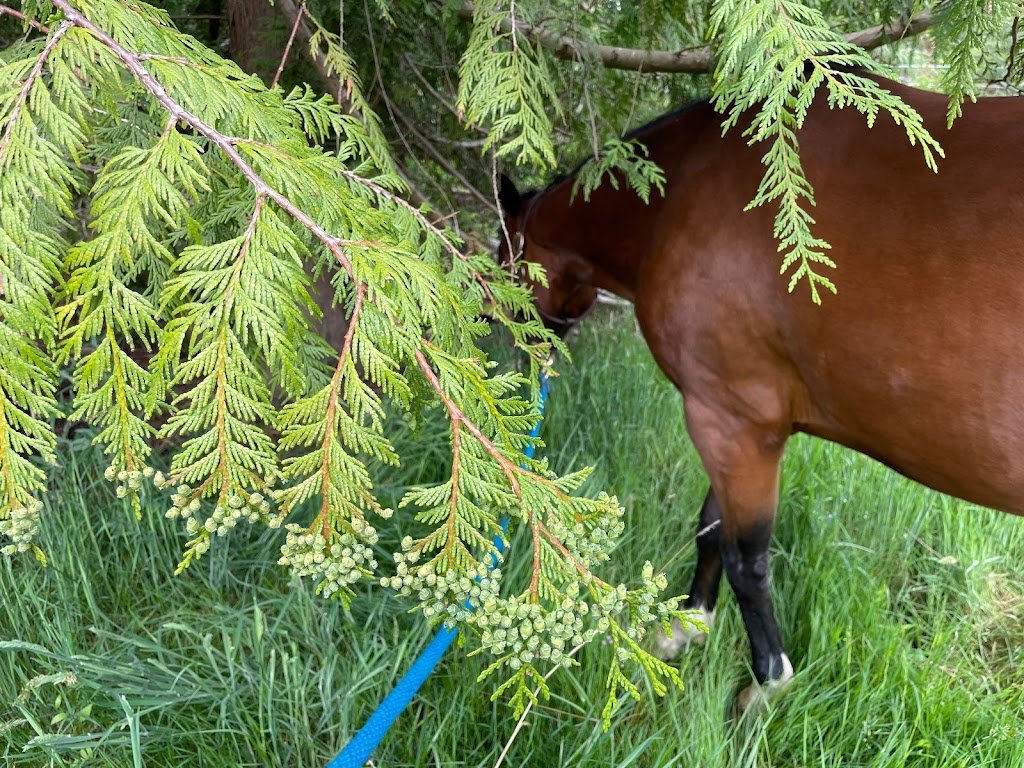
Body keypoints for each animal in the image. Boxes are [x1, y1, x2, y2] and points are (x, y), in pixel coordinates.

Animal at [499, 76, 1024, 708]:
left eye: (501, 259)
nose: (515, 355)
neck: (684, 194)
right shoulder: (728, 419)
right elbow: (711, 529)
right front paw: (687, 626)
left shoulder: (732, 421)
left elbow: (745, 559)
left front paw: (767, 682)